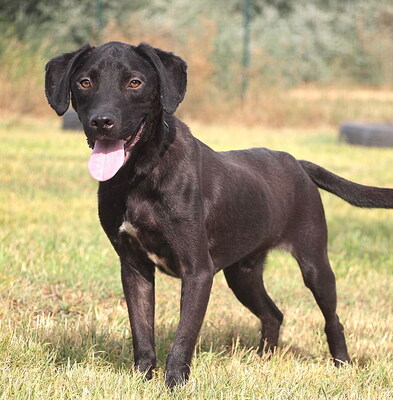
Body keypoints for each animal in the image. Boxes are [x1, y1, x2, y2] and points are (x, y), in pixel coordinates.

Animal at [43, 41, 392, 388]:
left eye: (135, 83)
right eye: (84, 82)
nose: (101, 121)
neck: (139, 175)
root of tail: (298, 163)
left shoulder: (198, 271)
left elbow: (184, 335)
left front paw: (174, 383)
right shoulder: (134, 266)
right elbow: (141, 331)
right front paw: (141, 378)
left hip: (315, 264)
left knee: (332, 318)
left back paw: (342, 363)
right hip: (243, 273)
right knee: (273, 313)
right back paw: (264, 360)